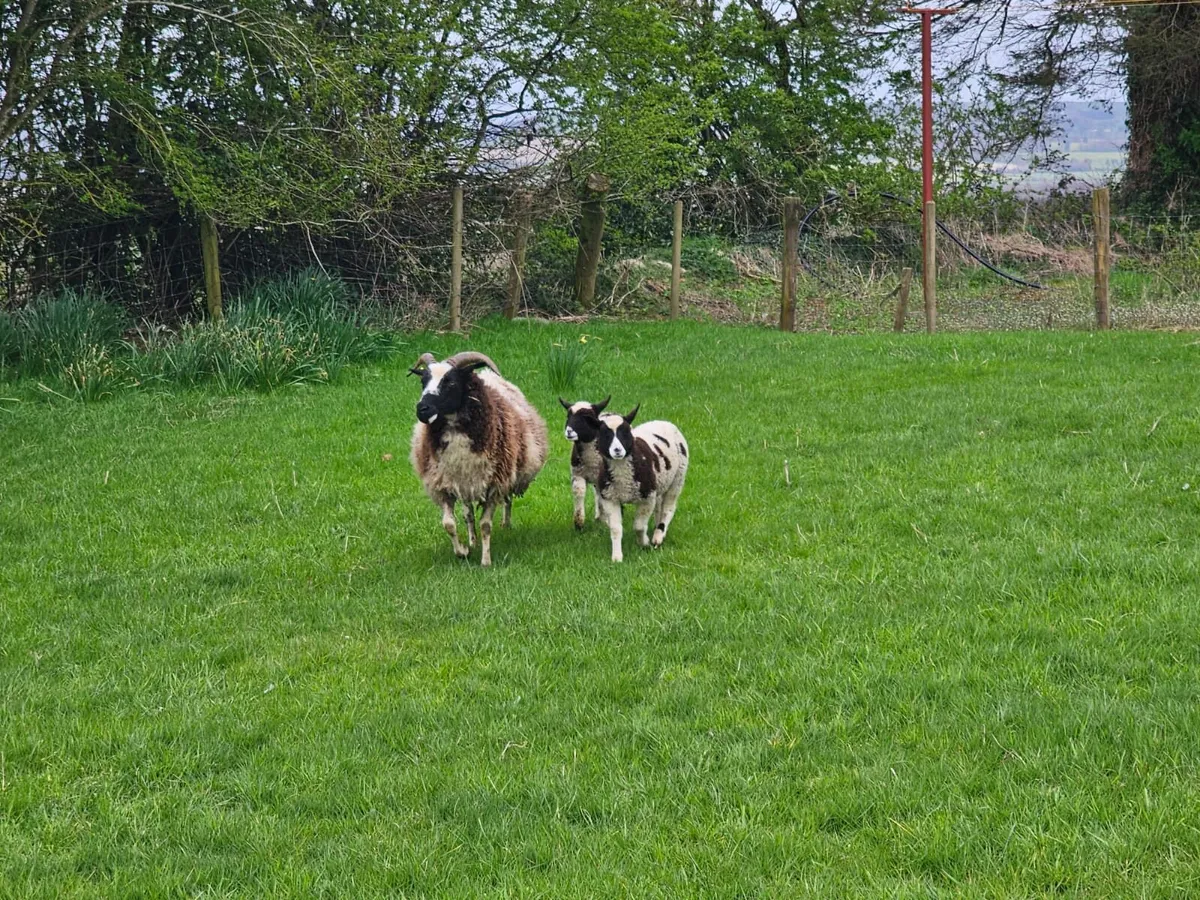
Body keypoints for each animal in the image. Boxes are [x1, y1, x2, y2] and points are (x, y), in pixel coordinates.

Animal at [408, 351, 549, 566]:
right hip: (466, 483)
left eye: (450, 382)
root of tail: (487, 375)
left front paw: (485, 561)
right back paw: (472, 541)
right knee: (468, 514)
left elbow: (486, 525)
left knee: (507, 500)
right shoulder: (444, 485)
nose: (422, 409)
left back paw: (506, 524)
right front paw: (463, 552)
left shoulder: (494, 485)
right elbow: (449, 524)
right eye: (423, 381)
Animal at [557, 395, 611, 530]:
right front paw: (578, 523)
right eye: (568, 416)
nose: (569, 431)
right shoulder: (577, 473)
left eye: (588, 417)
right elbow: (579, 491)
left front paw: (605, 521)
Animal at [593, 405, 689, 562]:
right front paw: (617, 557)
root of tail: (663, 421)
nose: (617, 450)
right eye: (605, 434)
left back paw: (658, 536)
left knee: (668, 508)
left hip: (678, 478)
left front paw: (644, 543)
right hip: (659, 483)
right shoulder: (609, 498)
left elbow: (638, 526)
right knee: (659, 506)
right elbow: (615, 529)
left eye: (626, 432)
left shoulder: (647, 497)